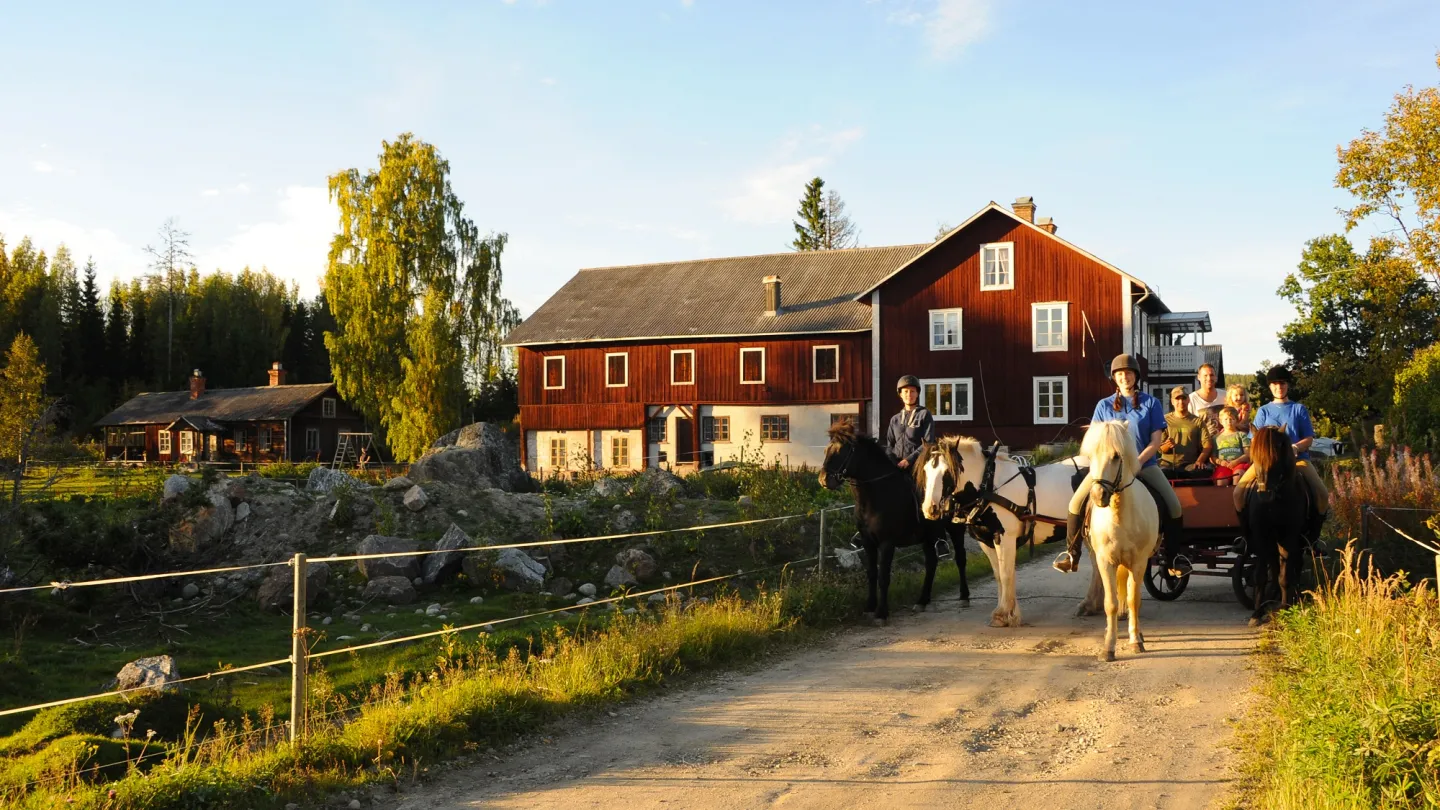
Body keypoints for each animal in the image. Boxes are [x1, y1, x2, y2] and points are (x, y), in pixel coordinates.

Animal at [817, 417, 973, 619]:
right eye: (827, 450)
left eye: (842, 450)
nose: (823, 479)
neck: (878, 494)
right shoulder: (868, 542)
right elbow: (872, 573)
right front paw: (869, 606)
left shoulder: (887, 543)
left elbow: (884, 576)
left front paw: (881, 612)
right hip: (927, 537)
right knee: (931, 563)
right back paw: (922, 601)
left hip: (955, 528)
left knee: (960, 558)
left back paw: (964, 597)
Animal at [921, 435, 1082, 625]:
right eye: (925, 470)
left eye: (947, 472)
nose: (930, 509)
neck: (989, 487)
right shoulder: (986, 541)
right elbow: (999, 575)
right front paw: (1008, 611)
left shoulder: (1004, 537)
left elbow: (1006, 574)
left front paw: (1004, 615)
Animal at [1082, 417, 1157, 660]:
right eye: (1091, 455)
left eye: (1116, 456)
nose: (1098, 496)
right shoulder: (1105, 561)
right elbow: (1111, 604)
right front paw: (1108, 646)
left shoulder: (1139, 562)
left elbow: (1134, 600)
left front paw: (1135, 641)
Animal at [1232, 426, 1313, 628]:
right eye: (1254, 457)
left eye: (1276, 457)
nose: (1265, 494)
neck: (1274, 502)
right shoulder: (1261, 535)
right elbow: (1261, 575)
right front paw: (1257, 612)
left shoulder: (1289, 536)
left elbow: (1285, 574)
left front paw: (1285, 608)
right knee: (1274, 566)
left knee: (1294, 566)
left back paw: (1292, 598)